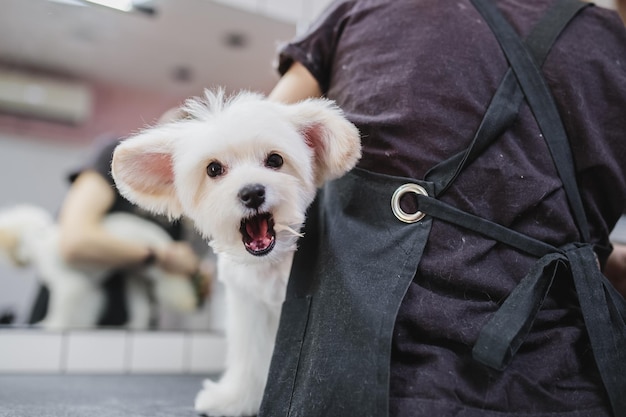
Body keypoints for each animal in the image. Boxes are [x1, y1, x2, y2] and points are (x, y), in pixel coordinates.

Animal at [0, 204, 199, 328]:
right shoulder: (87, 288)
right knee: (141, 309)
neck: (39, 242)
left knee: (175, 289)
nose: (18, 263)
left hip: (162, 271)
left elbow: (62, 310)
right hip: (134, 277)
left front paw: (53, 324)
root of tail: (161, 238)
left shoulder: (69, 285)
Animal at [109, 89, 358, 414]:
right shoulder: (249, 306)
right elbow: (249, 357)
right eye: (214, 169)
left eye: (275, 160)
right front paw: (235, 400)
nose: (252, 192)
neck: (271, 265)